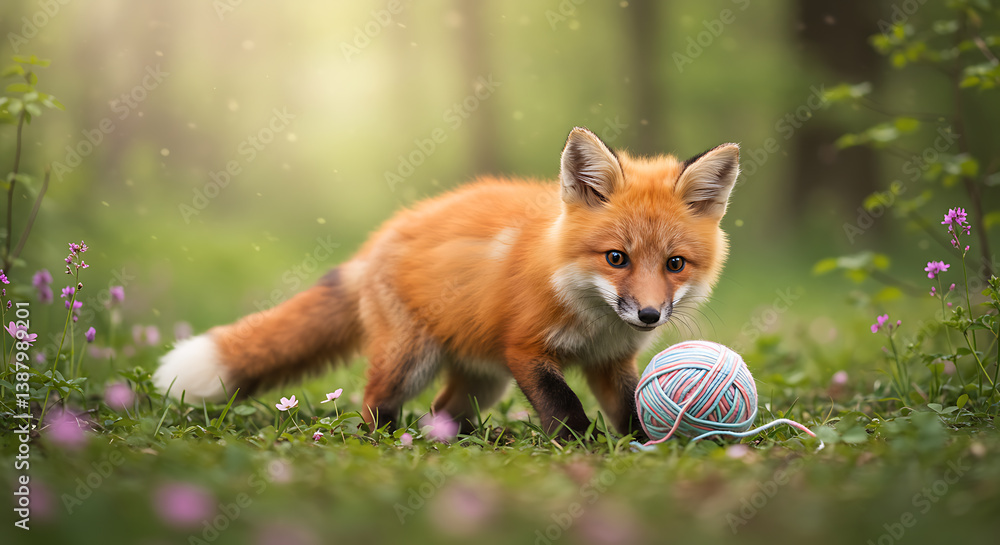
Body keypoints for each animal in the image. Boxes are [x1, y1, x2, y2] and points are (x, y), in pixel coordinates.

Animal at [153, 126, 741, 440]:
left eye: (675, 264)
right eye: (616, 258)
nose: (649, 315)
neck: (591, 315)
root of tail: (379, 239)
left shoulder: (609, 361)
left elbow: (630, 408)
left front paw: (646, 446)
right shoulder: (526, 348)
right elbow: (564, 407)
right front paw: (583, 448)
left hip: (485, 380)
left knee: (442, 410)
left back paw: (462, 439)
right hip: (412, 361)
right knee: (372, 401)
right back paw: (392, 440)